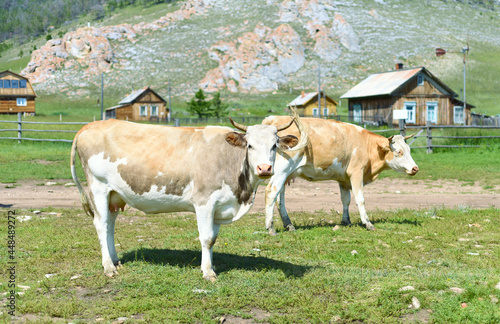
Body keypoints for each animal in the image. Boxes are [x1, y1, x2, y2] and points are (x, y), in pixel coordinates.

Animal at [70, 117, 304, 280]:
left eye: (274, 145)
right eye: (250, 145)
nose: (265, 168)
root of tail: (89, 126)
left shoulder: (219, 207)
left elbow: (213, 239)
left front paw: (210, 266)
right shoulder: (204, 201)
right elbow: (206, 238)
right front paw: (208, 272)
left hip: (114, 195)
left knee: (109, 225)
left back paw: (115, 260)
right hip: (99, 188)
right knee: (101, 225)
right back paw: (108, 267)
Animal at [262, 116, 418, 233]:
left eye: (409, 149)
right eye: (399, 152)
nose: (415, 168)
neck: (367, 145)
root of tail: (273, 120)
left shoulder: (343, 179)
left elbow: (345, 200)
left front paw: (346, 221)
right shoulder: (356, 172)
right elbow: (360, 199)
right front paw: (367, 223)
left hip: (285, 175)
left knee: (280, 199)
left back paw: (289, 225)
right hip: (281, 171)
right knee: (271, 192)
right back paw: (270, 228)